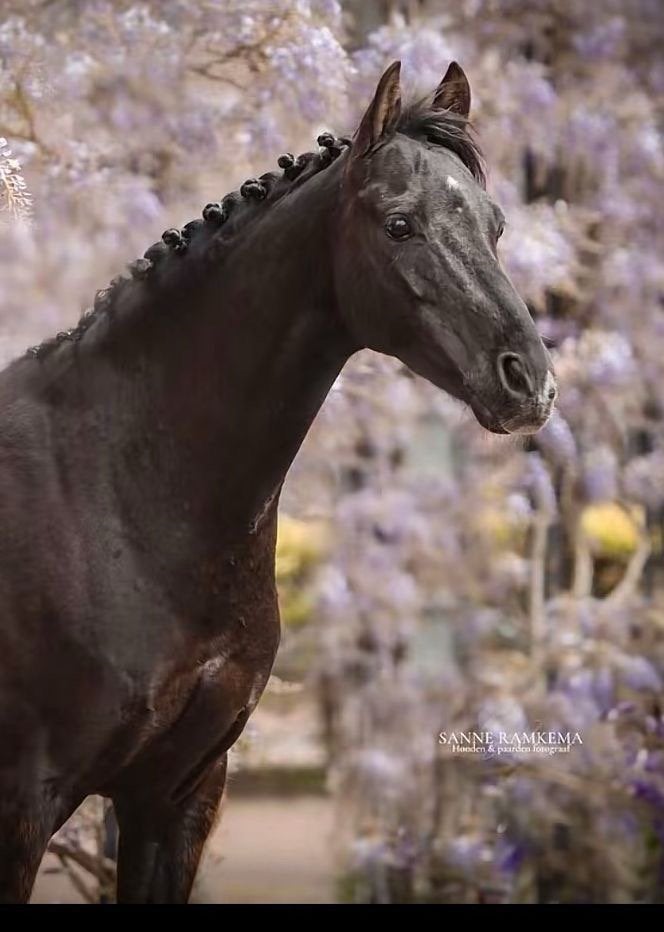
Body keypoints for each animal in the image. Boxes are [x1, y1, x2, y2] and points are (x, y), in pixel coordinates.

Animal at [0, 61, 556, 903]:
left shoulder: (176, 797)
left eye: (494, 226)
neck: (118, 494)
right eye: (400, 224)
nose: (529, 382)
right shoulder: (23, 806)